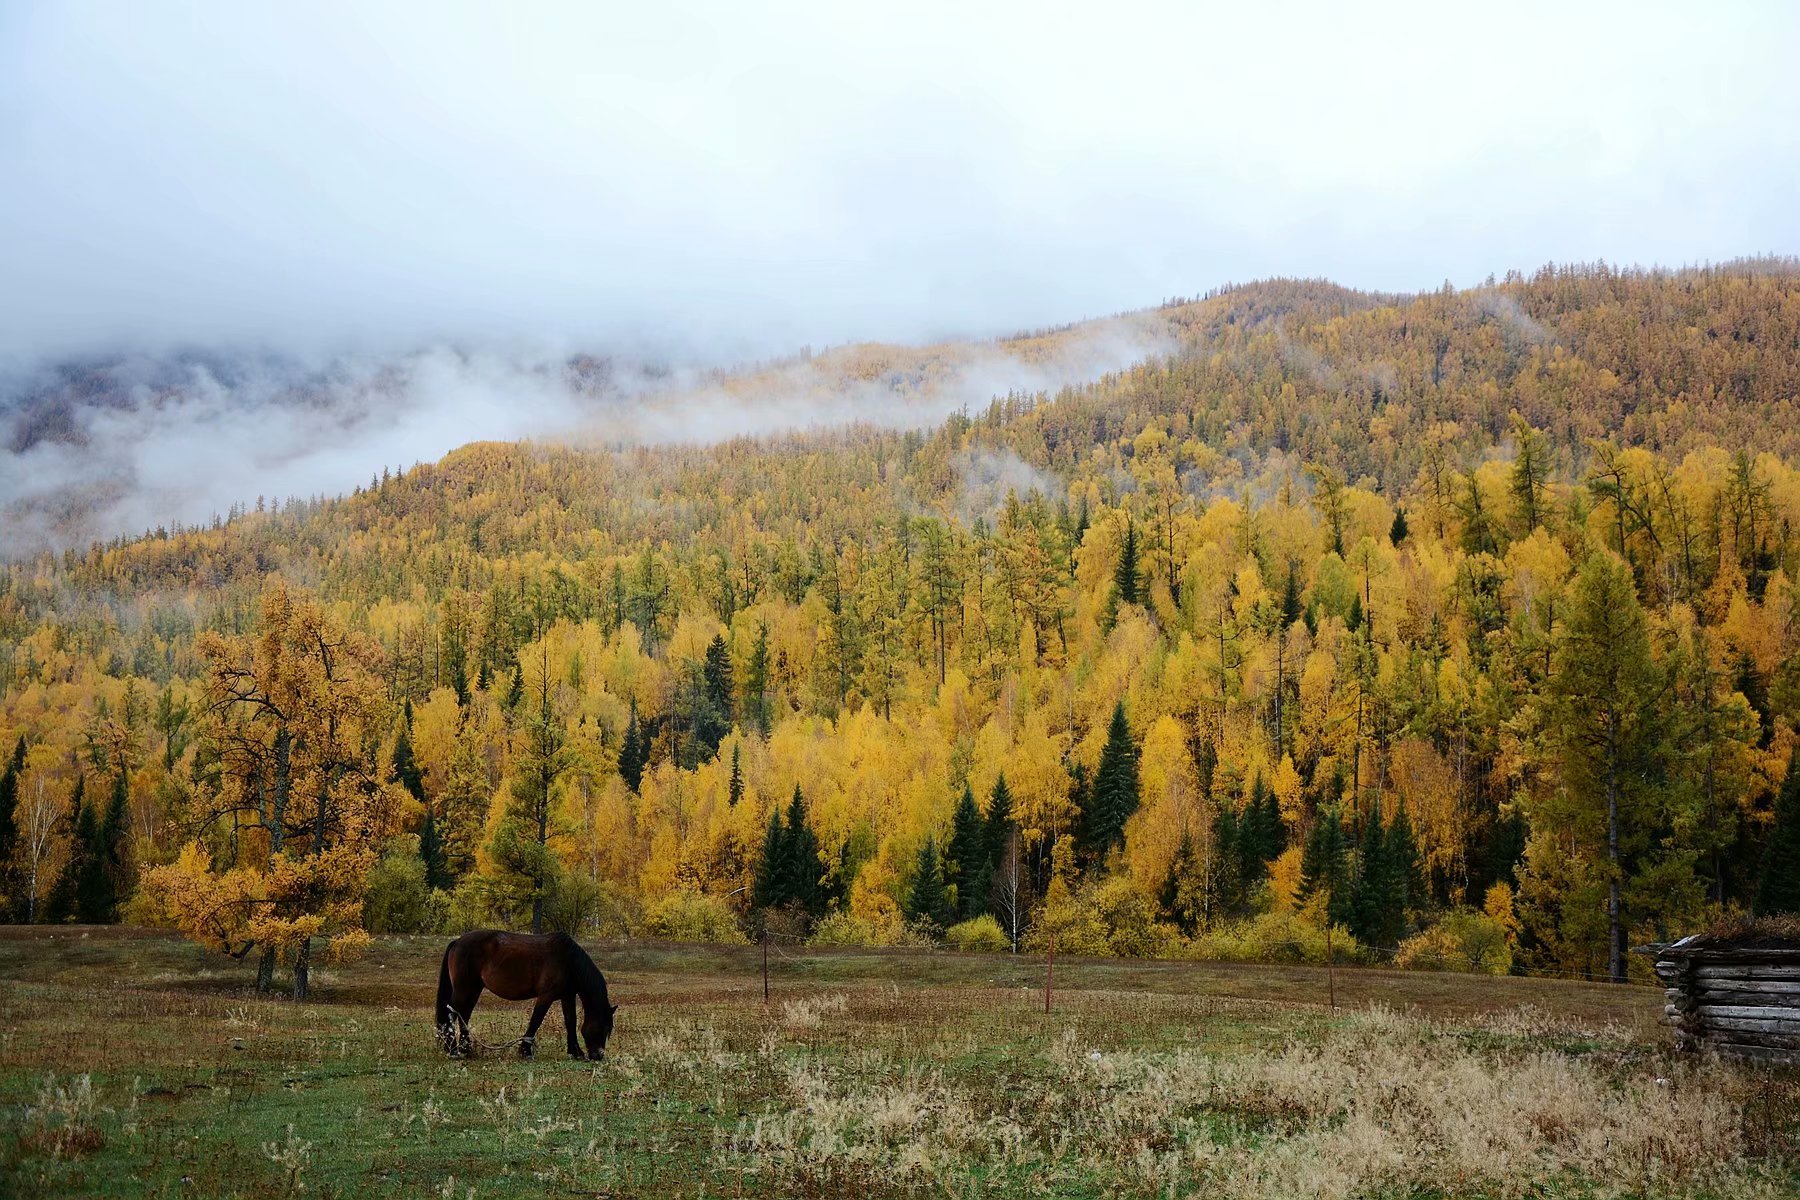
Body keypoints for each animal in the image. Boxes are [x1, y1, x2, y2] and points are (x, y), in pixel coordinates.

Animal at [435, 928, 619, 1057]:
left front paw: (575, 1052)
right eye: (603, 1026)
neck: (568, 961)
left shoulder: (567, 996)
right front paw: (525, 1051)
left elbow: (570, 1022)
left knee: (463, 1014)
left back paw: (466, 1049)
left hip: (473, 989)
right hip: (464, 989)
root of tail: (457, 942)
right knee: (452, 1012)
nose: (598, 1055)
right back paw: (453, 1050)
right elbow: (536, 1020)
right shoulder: (546, 996)